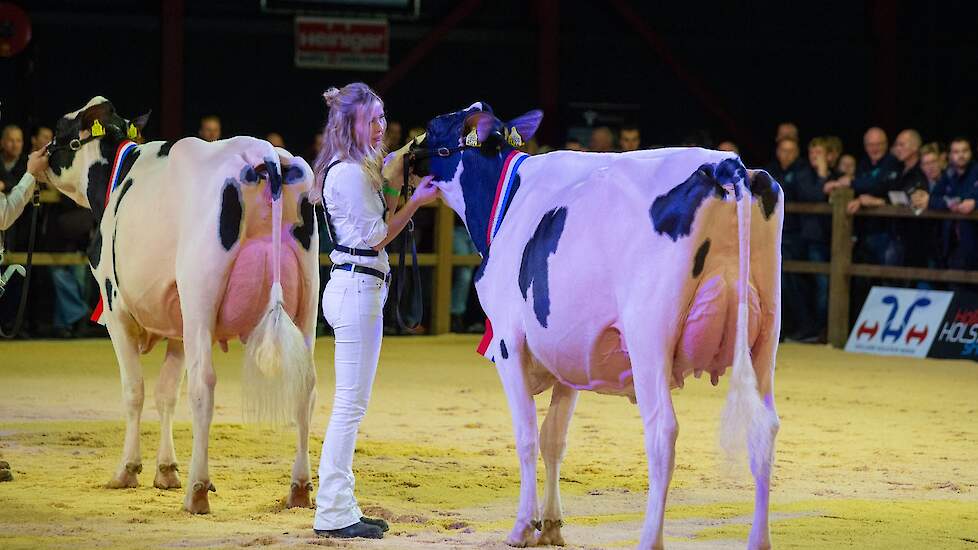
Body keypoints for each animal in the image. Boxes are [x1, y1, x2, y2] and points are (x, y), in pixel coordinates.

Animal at [42, 99, 318, 516]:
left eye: (60, 129)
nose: (40, 155)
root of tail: (264, 153)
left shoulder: (117, 312)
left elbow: (135, 391)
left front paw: (128, 470)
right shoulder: (177, 323)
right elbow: (166, 393)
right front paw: (166, 470)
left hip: (200, 295)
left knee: (204, 386)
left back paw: (198, 490)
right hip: (307, 298)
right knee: (305, 383)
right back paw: (299, 489)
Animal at [402, 103, 776, 550]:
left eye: (434, 125)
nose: (404, 153)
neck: (508, 201)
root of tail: (725, 164)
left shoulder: (510, 343)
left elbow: (527, 437)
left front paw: (523, 526)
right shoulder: (570, 355)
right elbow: (554, 439)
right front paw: (551, 525)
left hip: (649, 338)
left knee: (662, 432)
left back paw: (650, 538)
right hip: (765, 335)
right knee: (764, 428)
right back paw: (758, 539)